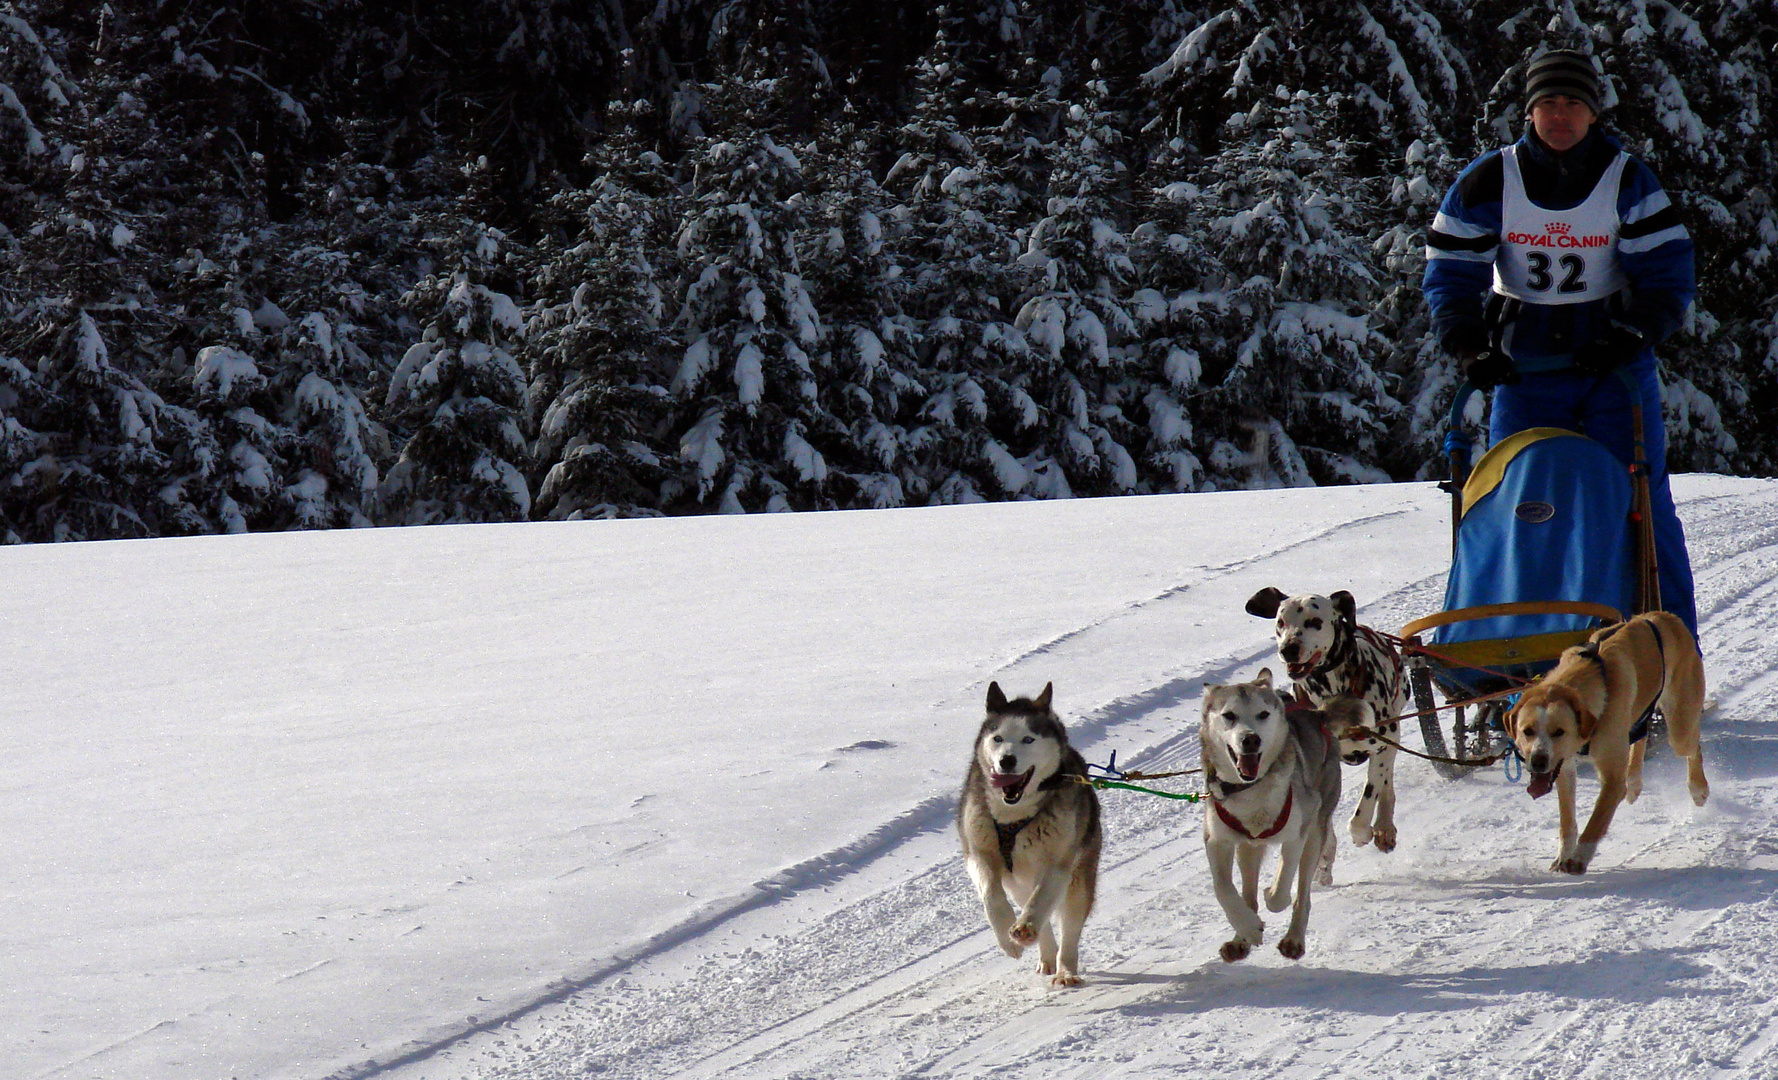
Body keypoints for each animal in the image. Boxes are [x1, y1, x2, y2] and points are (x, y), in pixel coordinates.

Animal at [1500, 612, 1706, 875]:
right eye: (1527, 731)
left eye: (1559, 731)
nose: (1538, 761)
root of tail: (1661, 615)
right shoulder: (1565, 769)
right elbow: (1567, 821)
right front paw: (1563, 855)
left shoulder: (1611, 780)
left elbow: (1597, 820)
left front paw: (1578, 859)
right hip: (1636, 720)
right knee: (1641, 736)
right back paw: (1634, 781)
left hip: (1680, 727)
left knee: (1692, 745)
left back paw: (1698, 789)